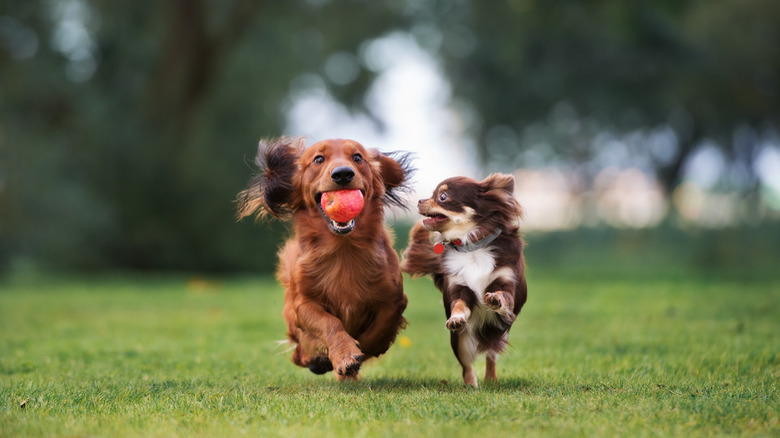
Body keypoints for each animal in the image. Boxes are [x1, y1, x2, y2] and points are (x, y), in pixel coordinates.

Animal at [236, 137, 412, 380]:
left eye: (358, 157)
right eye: (318, 159)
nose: (343, 174)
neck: (343, 250)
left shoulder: (394, 300)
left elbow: (378, 330)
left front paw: (360, 351)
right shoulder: (303, 304)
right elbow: (330, 323)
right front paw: (344, 354)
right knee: (298, 353)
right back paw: (317, 360)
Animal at [406, 175, 528, 386]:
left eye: (442, 197)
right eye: (432, 194)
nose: (420, 200)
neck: (472, 246)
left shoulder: (506, 282)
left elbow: (504, 296)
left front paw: (495, 299)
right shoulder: (459, 288)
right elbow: (459, 305)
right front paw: (456, 318)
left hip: (499, 332)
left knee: (491, 355)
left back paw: (491, 379)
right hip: (459, 341)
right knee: (467, 366)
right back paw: (471, 385)